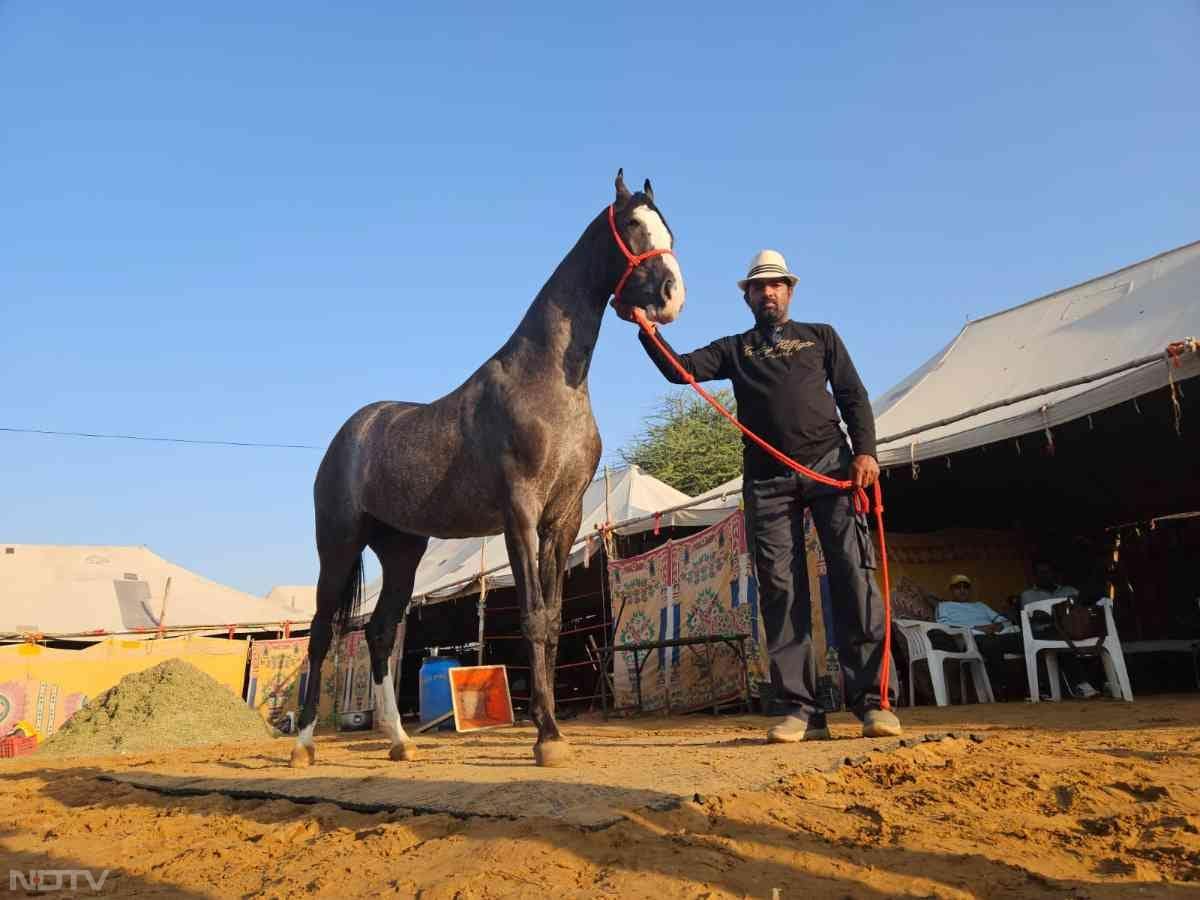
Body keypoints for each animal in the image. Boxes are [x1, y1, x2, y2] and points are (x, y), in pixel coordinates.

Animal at [291, 172, 686, 772]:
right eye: (633, 225)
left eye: (668, 229)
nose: (671, 295)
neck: (548, 382)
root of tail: (350, 435)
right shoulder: (519, 517)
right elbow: (532, 617)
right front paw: (546, 736)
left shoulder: (564, 520)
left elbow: (552, 620)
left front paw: (551, 731)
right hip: (337, 543)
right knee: (319, 634)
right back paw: (304, 745)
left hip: (401, 551)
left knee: (380, 633)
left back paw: (400, 742)